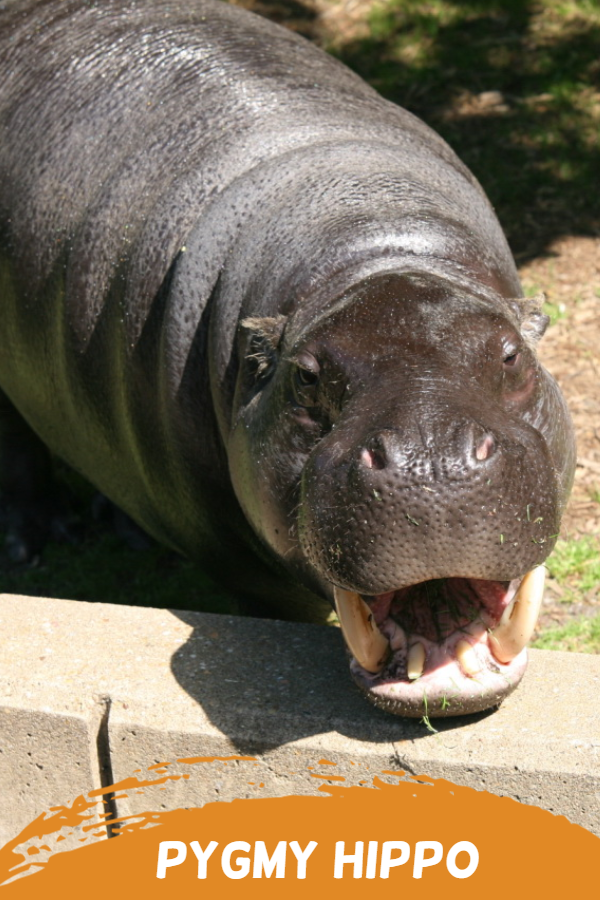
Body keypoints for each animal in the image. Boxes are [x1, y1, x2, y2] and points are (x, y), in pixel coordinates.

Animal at [0, 0, 575, 717]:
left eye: (512, 356)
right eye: (304, 380)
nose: (432, 461)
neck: (374, 241)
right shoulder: (247, 571)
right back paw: (31, 540)